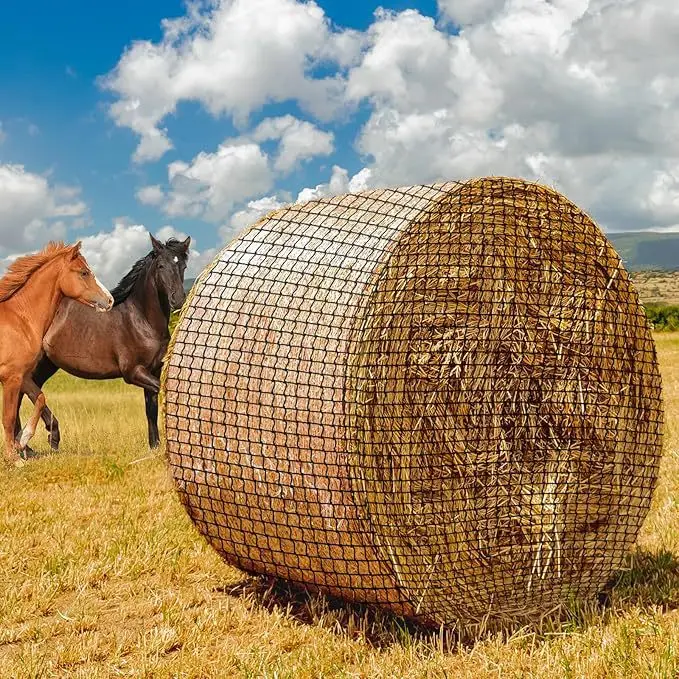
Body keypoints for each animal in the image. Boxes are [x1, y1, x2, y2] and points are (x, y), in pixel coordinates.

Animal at [0, 241, 113, 466]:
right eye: (84, 272)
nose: (110, 300)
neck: (21, 319)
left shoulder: (24, 376)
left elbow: (41, 399)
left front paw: (22, 441)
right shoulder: (11, 377)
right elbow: (8, 418)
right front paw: (14, 458)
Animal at [15, 234, 190, 452]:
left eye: (183, 265)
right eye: (160, 265)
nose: (178, 300)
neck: (141, 320)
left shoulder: (153, 370)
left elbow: (151, 410)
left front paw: (154, 447)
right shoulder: (134, 372)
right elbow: (163, 391)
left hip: (47, 365)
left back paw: (26, 446)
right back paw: (43, 439)